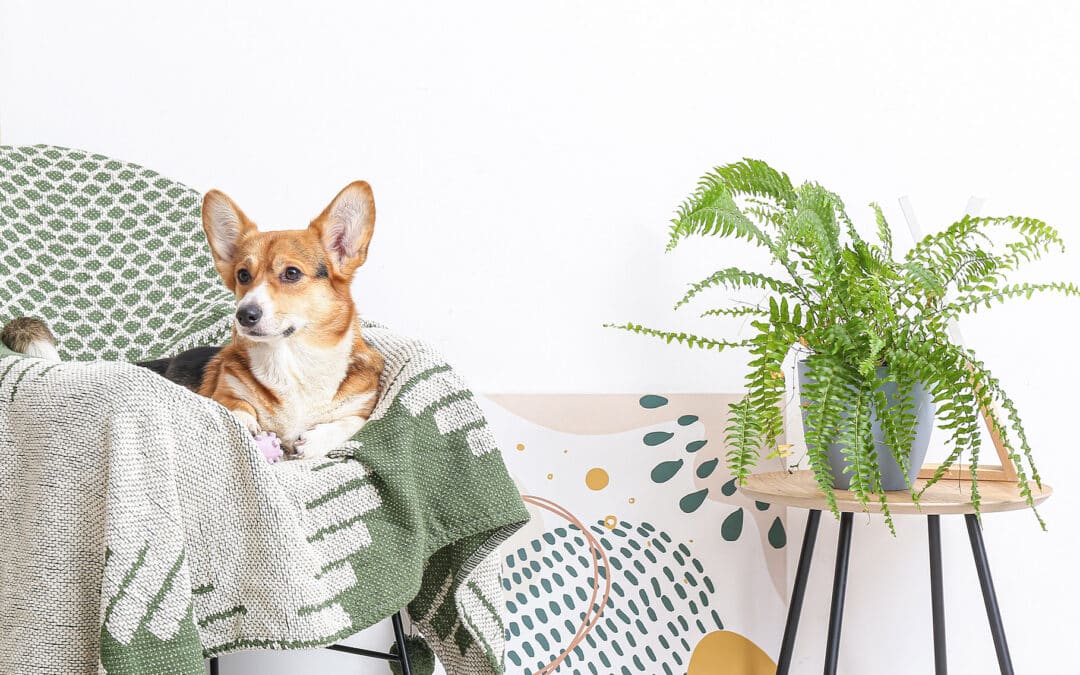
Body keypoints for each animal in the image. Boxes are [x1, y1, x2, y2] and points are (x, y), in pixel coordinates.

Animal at [0, 181, 388, 460]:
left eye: (291, 273)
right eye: (243, 275)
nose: (244, 315)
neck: (292, 360)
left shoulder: (362, 406)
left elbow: (350, 423)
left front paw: (317, 440)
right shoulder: (226, 392)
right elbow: (237, 408)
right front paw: (247, 424)